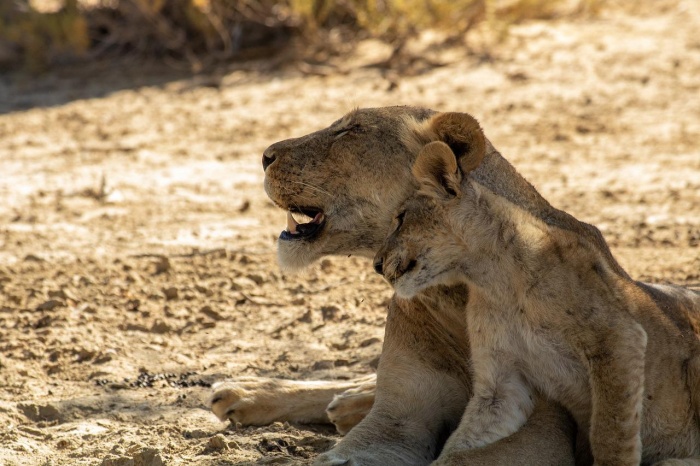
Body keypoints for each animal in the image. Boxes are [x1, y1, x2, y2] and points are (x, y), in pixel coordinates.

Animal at [374, 125, 700, 464]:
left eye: (400, 218)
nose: (376, 264)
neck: (493, 277)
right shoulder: (503, 381)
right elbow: (465, 439)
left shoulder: (618, 337)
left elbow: (610, 433)